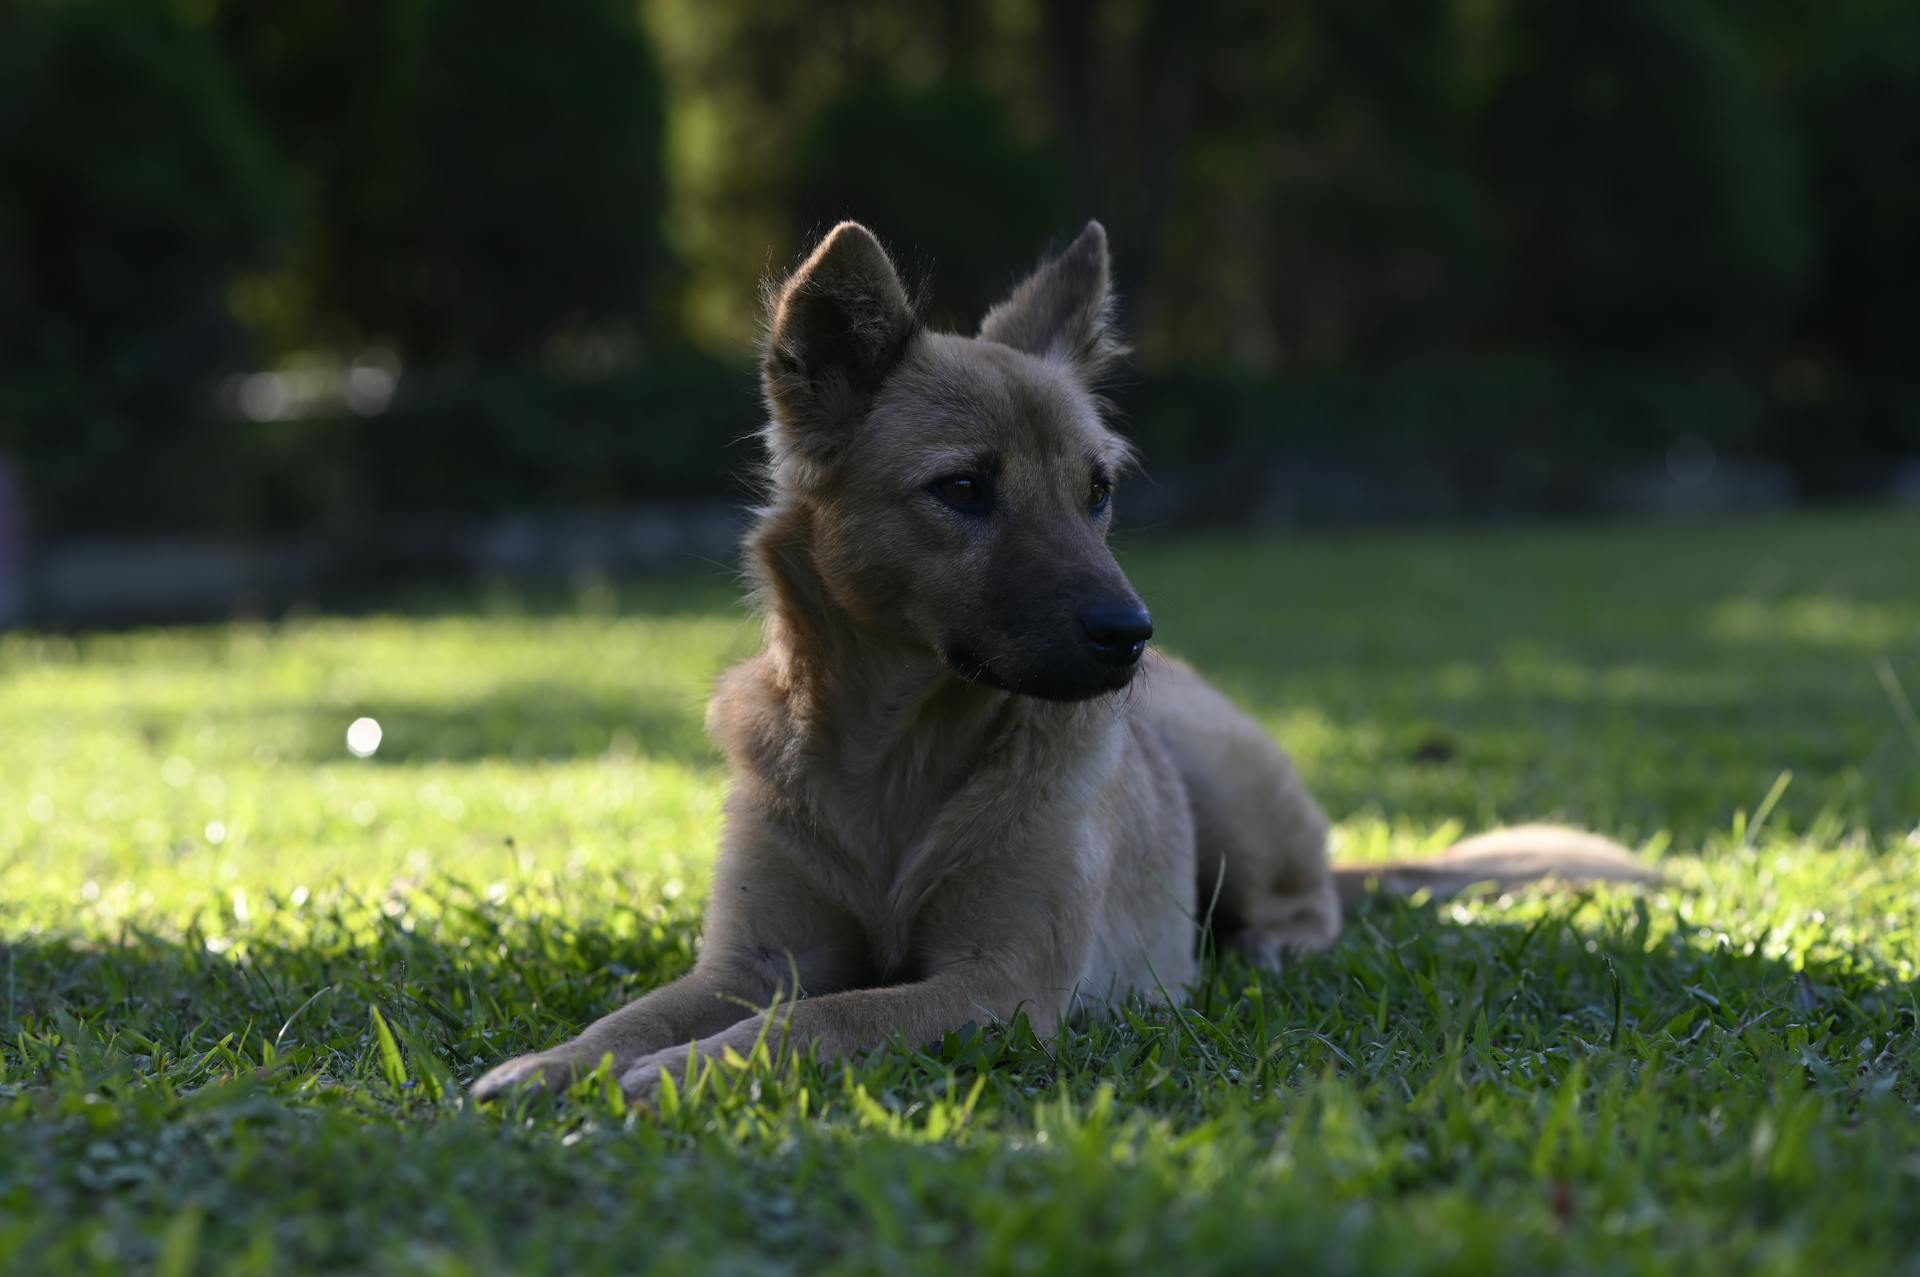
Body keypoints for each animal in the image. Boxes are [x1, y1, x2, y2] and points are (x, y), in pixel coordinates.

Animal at [468, 223, 1651, 1098]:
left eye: (1099, 490)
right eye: (962, 488)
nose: (1131, 634)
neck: (895, 758)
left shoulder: (999, 986)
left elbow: (822, 1019)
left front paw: (677, 1074)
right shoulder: (748, 961)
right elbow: (639, 1012)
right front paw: (555, 1064)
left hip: (1227, 779)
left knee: (1307, 897)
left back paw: (1266, 946)